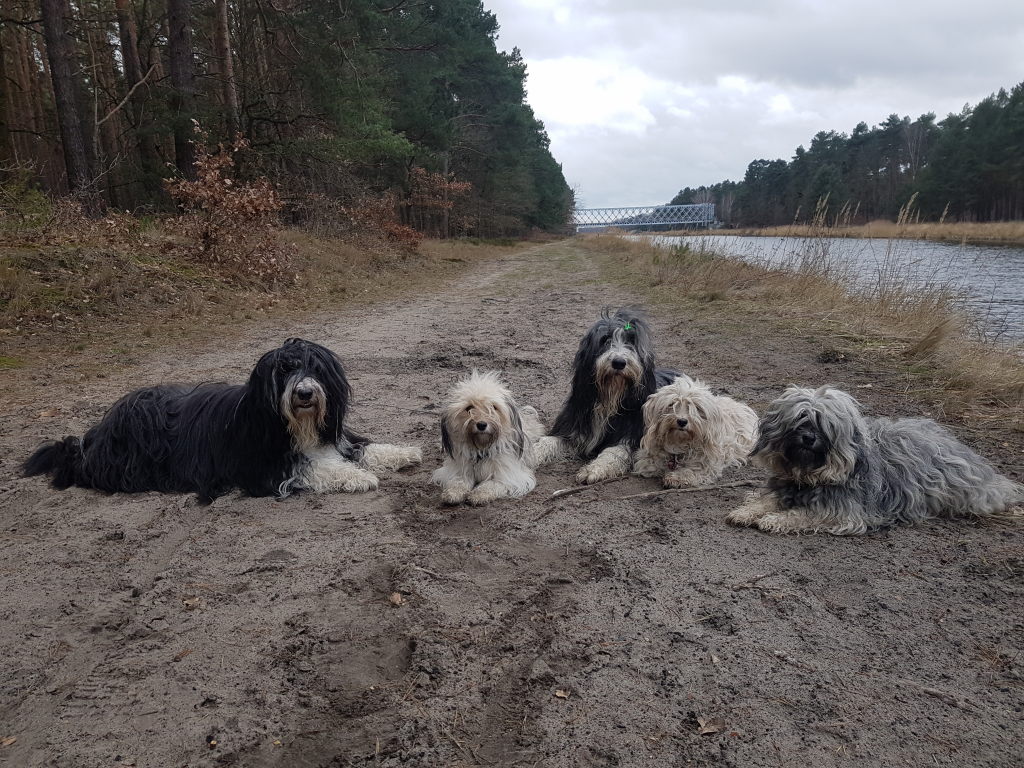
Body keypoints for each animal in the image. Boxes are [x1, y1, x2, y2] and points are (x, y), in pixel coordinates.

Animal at [22, 339, 419, 501]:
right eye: (283, 372)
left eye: (315, 369)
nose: (305, 393)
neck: (296, 427)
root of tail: (97, 434)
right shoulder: (261, 468)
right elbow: (312, 469)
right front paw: (356, 477)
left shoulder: (334, 437)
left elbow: (365, 447)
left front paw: (403, 453)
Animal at [430, 370, 548, 505]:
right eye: (469, 408)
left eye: (494, 407)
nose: (481, 424)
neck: (482, 450)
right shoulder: (457, 468)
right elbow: (458, 480)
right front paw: (453, 492)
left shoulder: (511, 476)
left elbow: (492, 483)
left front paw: (479, 494)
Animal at [536, 309, 679, 483]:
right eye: (605, 339)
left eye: (631, 341)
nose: (619, 362)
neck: (610, 398)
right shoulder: (573, 426)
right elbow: (547, 441)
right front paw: (531, 454)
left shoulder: (635, 436)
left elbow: (614, 452)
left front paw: (594, 469)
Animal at [630, 376, 761, 489]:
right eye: (671, 404)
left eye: (697, 408)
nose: (682, 421)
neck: (680, 443)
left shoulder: (707, 462)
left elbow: (694, 469)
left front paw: (677, 477)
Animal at [724, 385, 1019, 536]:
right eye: (801, 419)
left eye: (824, 425)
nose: (808, 438)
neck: (809, 477)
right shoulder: (784, 486)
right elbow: (763, 500)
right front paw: (746, 512)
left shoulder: (843, 512)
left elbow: (804, 514)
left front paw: (776, 519)